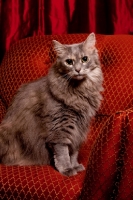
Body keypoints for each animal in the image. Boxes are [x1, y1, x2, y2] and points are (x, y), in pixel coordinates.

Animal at [0, 33, 103, 177]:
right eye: (69, 62)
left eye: (85, 59)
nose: (77, 70)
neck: (79, 92)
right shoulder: (60, 127)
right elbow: (63, 153)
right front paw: (67, 169)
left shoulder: (79, 128)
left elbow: (73, 152)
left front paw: (75, 165)